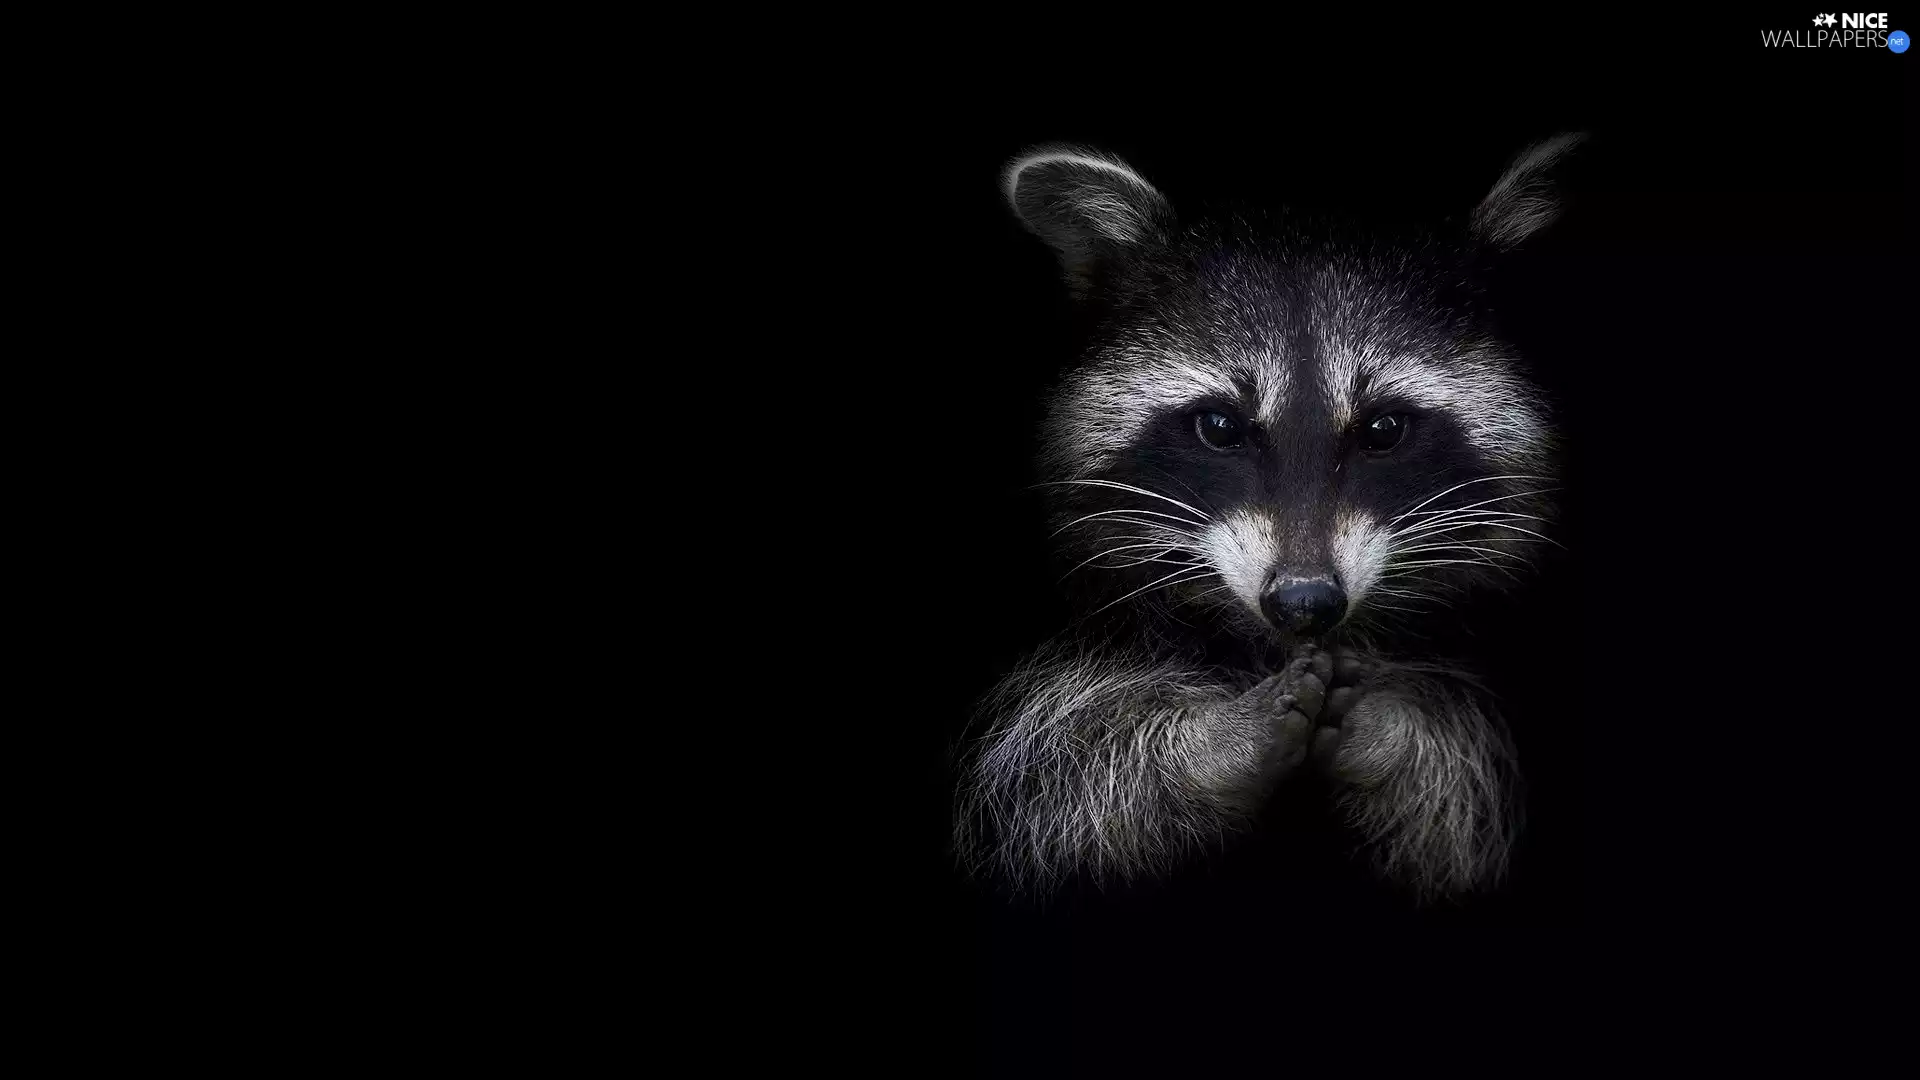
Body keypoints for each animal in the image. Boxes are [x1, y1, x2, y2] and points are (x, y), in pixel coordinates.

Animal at [955, 136, 1583, 902]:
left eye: (1384, 429)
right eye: (1221, 426)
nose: (1304, 603)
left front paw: (1397, 736)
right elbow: (1045, 779)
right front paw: (1207, 749)